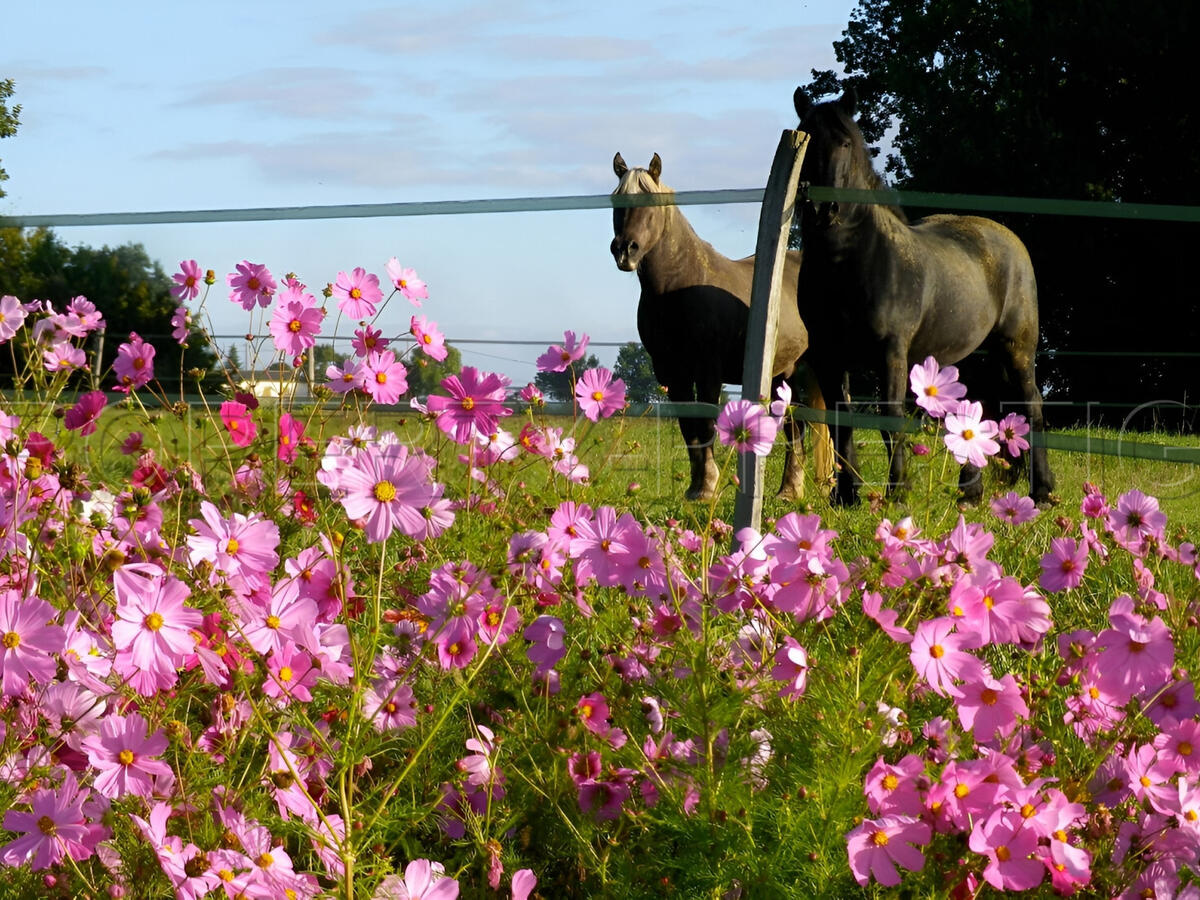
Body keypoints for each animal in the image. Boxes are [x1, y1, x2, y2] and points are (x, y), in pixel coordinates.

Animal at [609, 156, 835, 508]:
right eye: (615, 200)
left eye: (651, 203)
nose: (624, 251)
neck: (679, 286)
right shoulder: (671, 372)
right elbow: (689, 427)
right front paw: (696, 488)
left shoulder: (707, 370)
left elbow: (705, 424)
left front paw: (708, 487)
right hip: (783, 372)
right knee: (795, 427)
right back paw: (789, 491)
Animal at [792, 90, 1056, 508]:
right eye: (806, 138)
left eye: (845, 143)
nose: (823, 208)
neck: (852, 263)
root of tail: (1010, 240)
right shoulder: (828, 357)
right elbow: (840, 422)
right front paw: (845, 496)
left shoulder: (891, 353)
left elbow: (890, 419)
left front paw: (898, 492)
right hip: (971, 354)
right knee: (976, 409)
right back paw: (970, 492)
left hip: (1017, 348)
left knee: (1033, 407)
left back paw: (1042, 491)